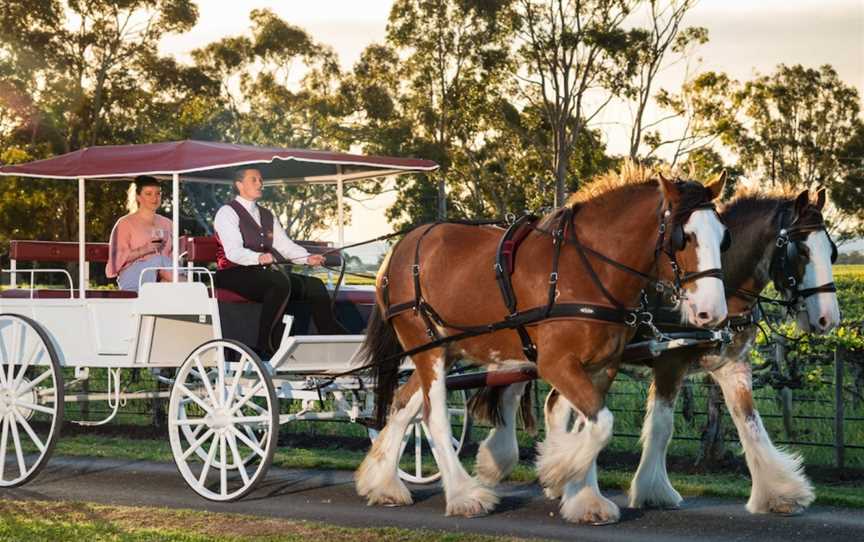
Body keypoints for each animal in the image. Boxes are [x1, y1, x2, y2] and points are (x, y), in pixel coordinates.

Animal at [356, 172, 728, 524]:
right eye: (684, 237)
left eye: (723, 236)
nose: (713, 313)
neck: (586, 270)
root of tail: (398, 250)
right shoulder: (556, 363)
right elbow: (601, 424)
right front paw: (558, 468)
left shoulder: (601, 367)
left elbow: (590, 425)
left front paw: (584, 497)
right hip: (426, 347)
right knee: (433, 417)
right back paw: (464, 495)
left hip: (444, 350)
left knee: (403, 406)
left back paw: (382, 483)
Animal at [476, 189, 840, 520]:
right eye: (802, 249)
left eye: (832, 252)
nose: (828, 319)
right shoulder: (669, 362)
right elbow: (662, 426)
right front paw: (653, 490)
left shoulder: (732, 365)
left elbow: (750, 424)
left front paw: (779, 492)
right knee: (512, 390)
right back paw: (502, 460)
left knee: (551, 403)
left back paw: (556, 473)